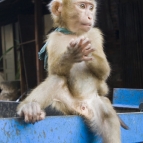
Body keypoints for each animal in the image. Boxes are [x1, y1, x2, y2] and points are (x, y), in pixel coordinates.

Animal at [16, 0, 122, 142]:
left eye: (91, 8)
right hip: (66, 106)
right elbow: (54, 71)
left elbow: (105, 71)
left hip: (95, 102)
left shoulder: (95, 34)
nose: (90, 17)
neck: (73, 33)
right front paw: (71, 55)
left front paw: (88, 51)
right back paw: (29, 108)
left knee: (107, 117)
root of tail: (83, 107)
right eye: (82, 6)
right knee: (57, 79)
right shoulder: (54, 38)